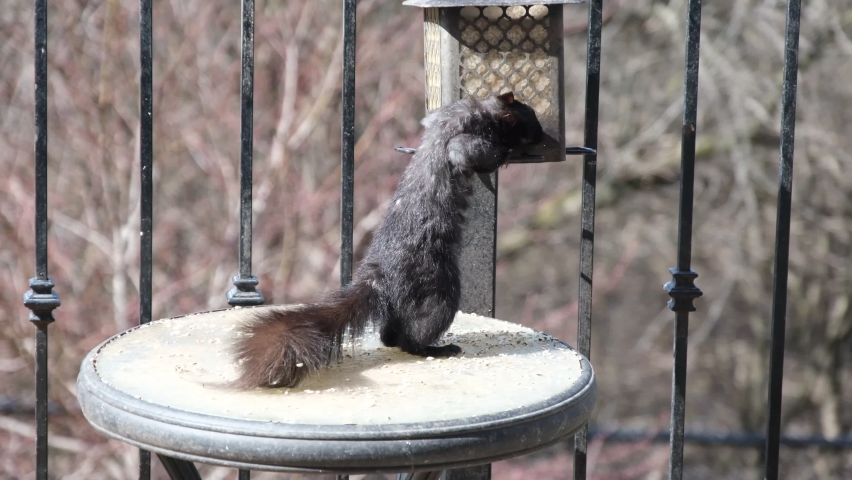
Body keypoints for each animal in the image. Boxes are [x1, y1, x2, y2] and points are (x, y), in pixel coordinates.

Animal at [231, 92, 544, 388]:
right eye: (529, 126)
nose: (544, 138)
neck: (477, 110)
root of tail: (379, 277)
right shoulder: (465, 138)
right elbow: (467, 153)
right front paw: (504, 154)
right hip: (438, 287)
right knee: (414, 335)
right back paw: (437, 348)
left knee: (390, 334)